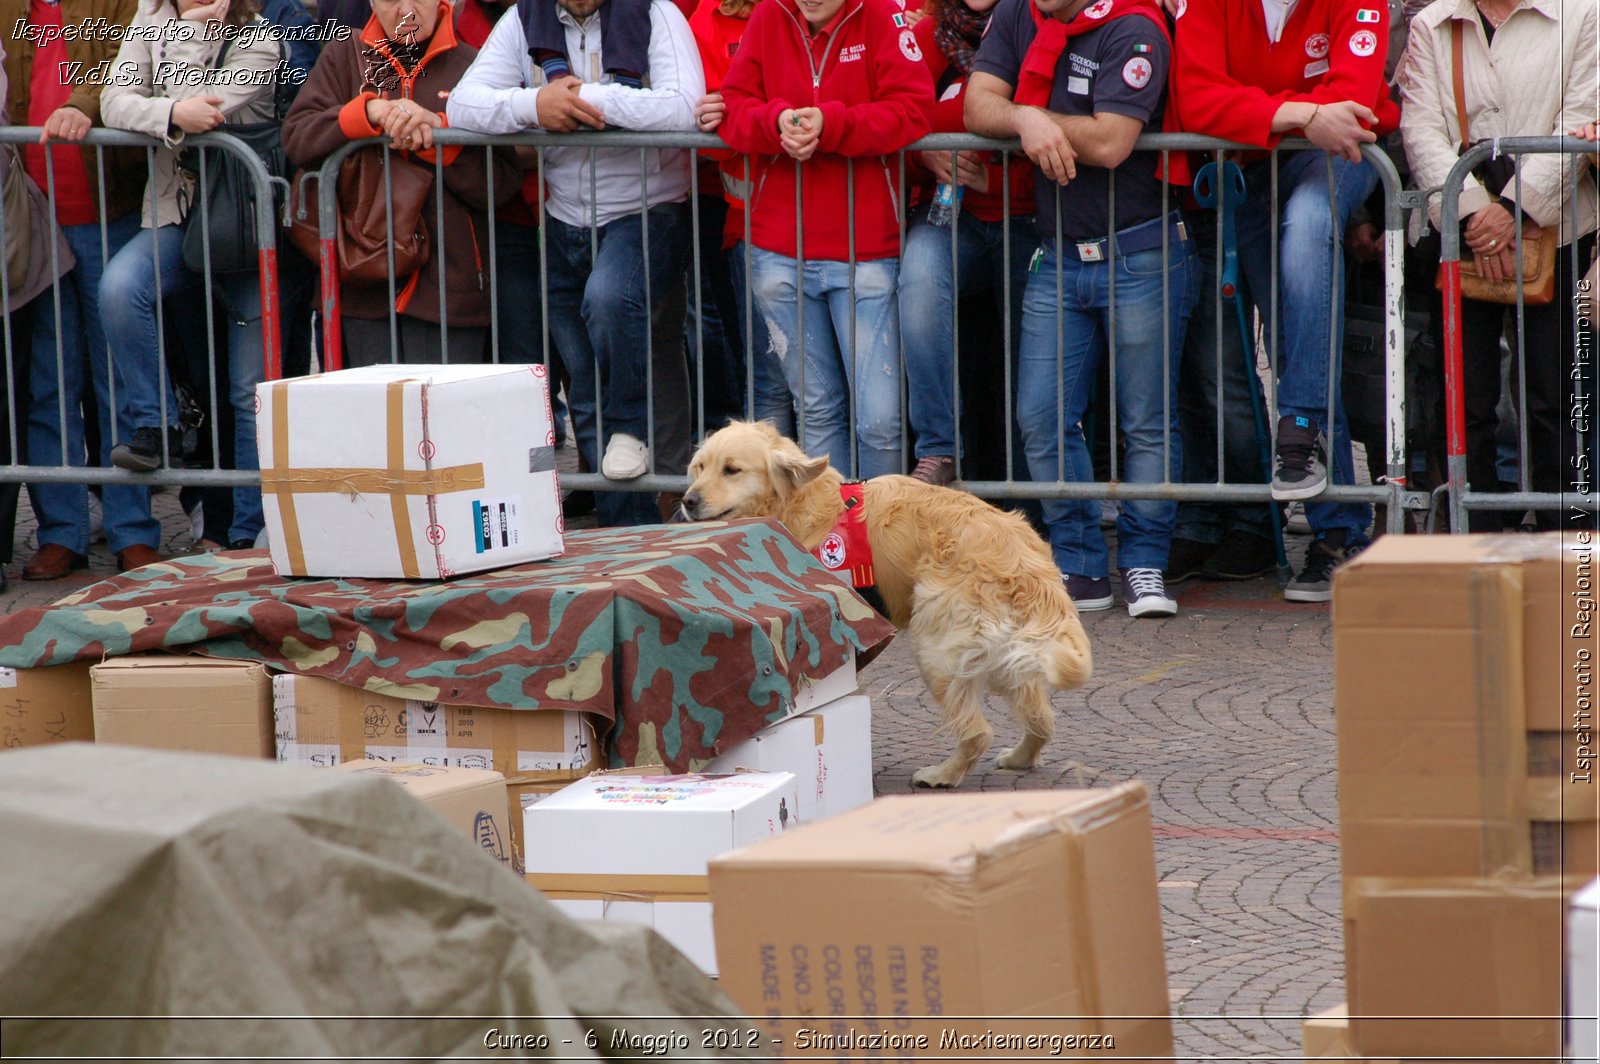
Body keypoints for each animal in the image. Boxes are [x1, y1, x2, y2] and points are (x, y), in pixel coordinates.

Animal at [681, 419, 1094, 784]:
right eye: (699, 467)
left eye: (731, 470)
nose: (688, 501)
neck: (798, 505)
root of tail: (1029, 565)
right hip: (1009, 657)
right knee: (1041, 719)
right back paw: (1019, 757)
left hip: (936, 650)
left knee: (978, 732)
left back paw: (941, 776)